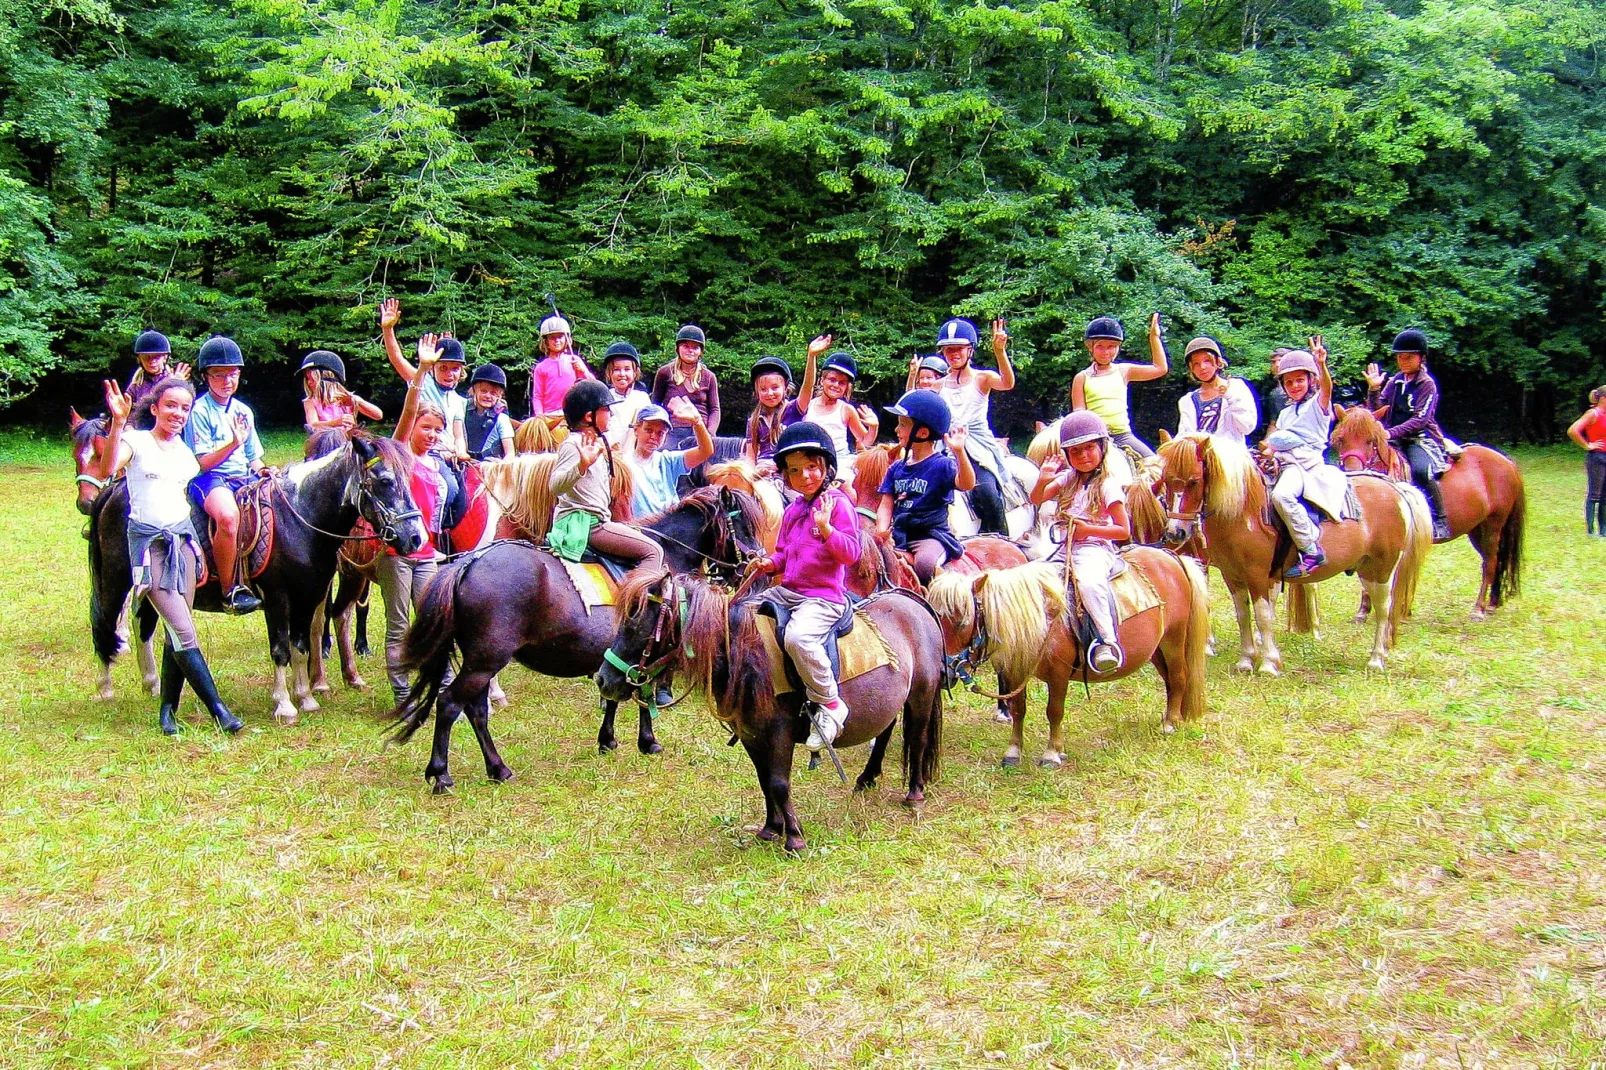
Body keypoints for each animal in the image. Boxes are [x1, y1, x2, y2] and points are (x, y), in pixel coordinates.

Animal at [85, 430, 427, 719]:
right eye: (385, 481)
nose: (415, 538)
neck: (299, 518)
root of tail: (114, 489)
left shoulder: (308, 596)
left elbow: (300, 646)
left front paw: (306, 698)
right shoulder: (277, 598)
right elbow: (280, 649)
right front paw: (285, 706)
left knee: (144, 623)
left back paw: (152, 684)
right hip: (116, 579)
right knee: (106, 623)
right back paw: (104, 688)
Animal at [600, 565, 944, 848]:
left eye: (634, 625)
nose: (604, 679)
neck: (743, 652)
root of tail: (913, 601)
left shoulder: (779, 732)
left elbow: (779, 783)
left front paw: (794, 837)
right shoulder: (751, 733)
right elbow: (765, 779)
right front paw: (771, 828)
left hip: (921, 695)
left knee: (917, 739)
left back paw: (914, 794)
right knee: (885, 730)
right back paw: (867, 777)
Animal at [925, 549, 1207, 767]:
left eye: (962, 621)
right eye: (934, 617)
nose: (944, 672)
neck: (1042, 617)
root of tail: (1172, 557)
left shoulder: (1058, 675)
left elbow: (1054, 711)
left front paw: (1052, 753)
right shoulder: (1016, 671)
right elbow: (1018, 710)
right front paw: (1013, 752)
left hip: (1173, 640)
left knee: (1179, 677)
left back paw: (1170, 723)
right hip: (1156, 650)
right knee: (1170, 681)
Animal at [1156, 430, 1432, 671]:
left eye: (1194, 481)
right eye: (1166, 480)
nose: (1175, 532)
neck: (1243, 512)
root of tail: (1395, 489)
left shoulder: (1258, 576)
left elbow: (1263, 616)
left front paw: (1268, 663)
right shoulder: (1232, 577)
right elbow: (1243, 615)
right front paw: (1246, 660)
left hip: (1381, 569)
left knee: (1384, 609)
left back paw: (1376, 658)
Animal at [1329, 401, 1528, 620]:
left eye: (1371, 440)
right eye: (1340, 439)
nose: (1353, 473)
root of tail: (1506, 461)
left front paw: (1399, 611)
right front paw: (1364, 610)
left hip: (1494, 524)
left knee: (1490, 563)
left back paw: (1479, 608)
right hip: (1477, 529)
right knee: (1494, 560)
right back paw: (1492, 603)